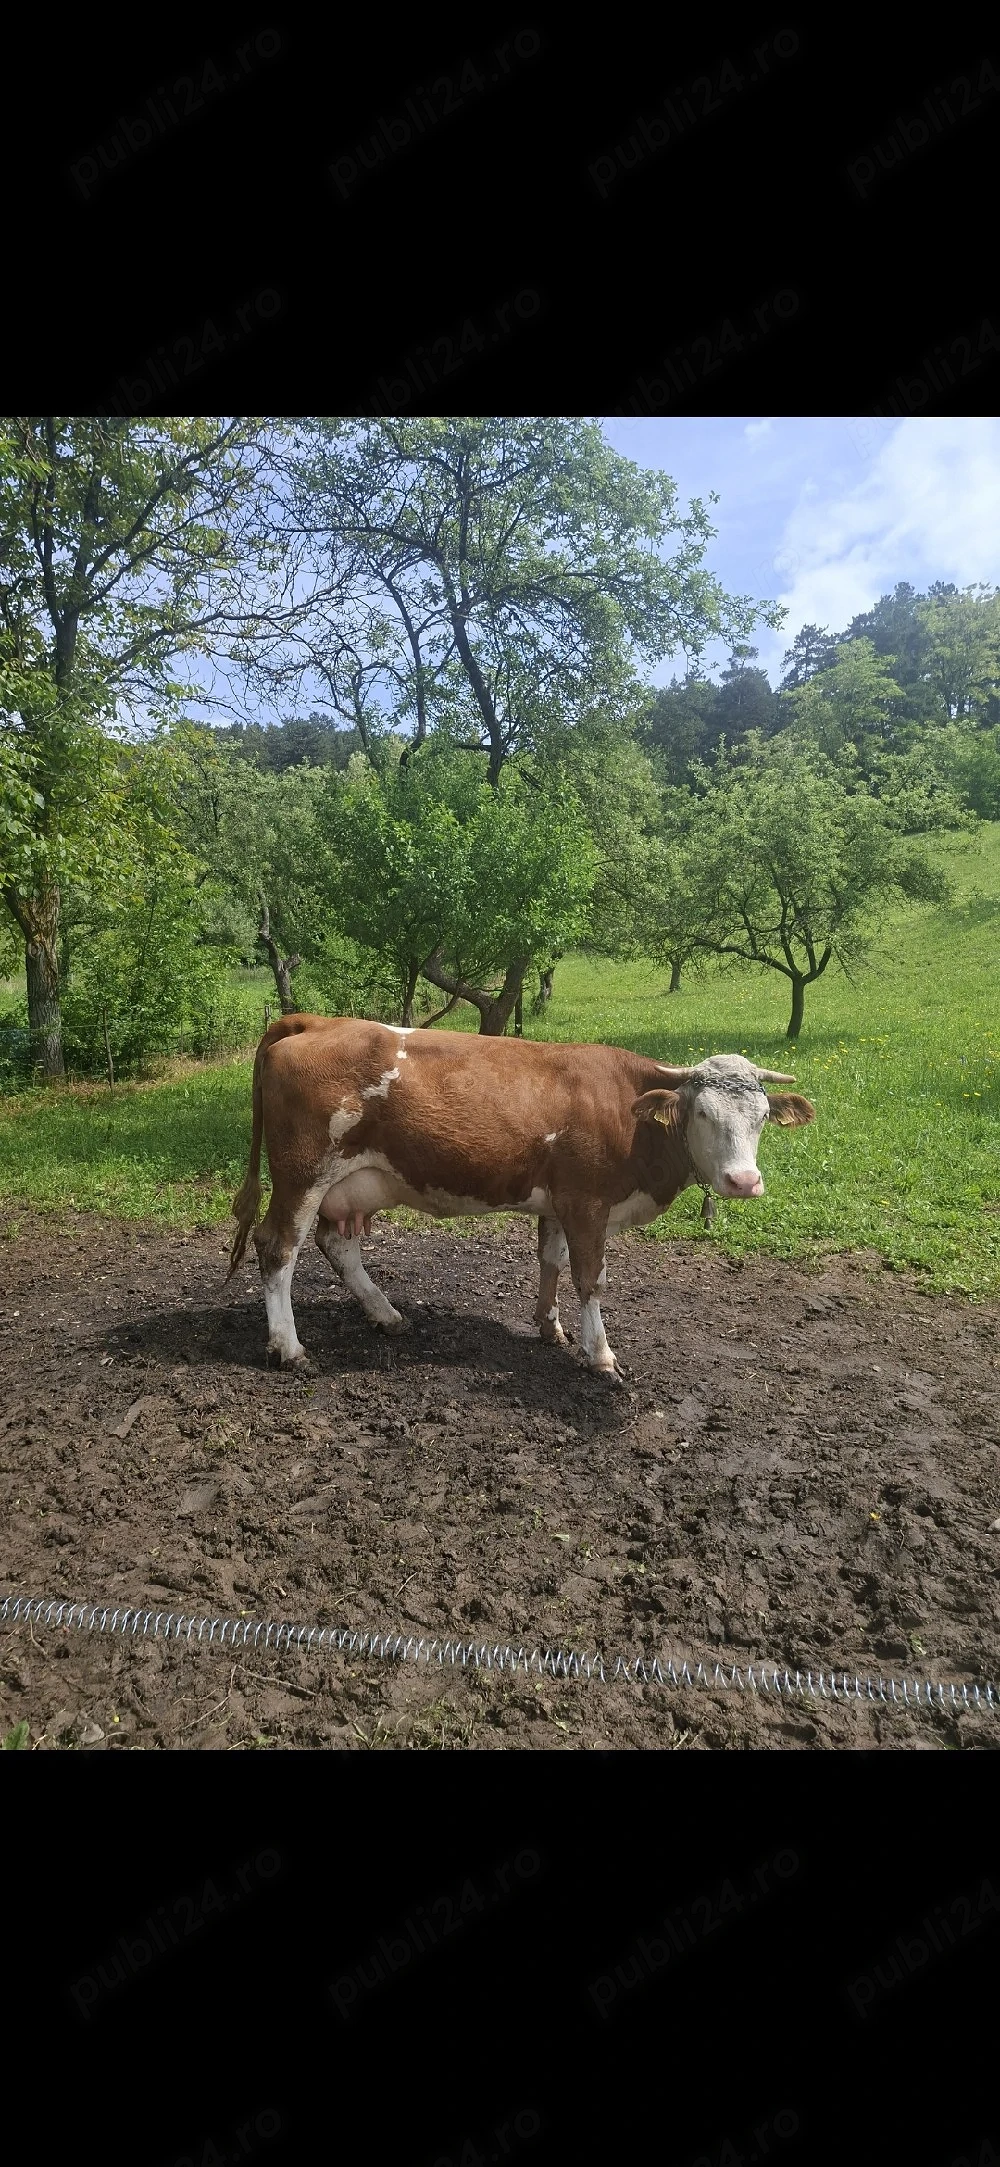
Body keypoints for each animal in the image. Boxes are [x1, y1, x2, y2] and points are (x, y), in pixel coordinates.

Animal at [227, 1015, 815, 1380]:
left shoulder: (558, 1203)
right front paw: (600, 1355)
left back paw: (386, 1314)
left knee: (336, 1246)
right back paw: (289, 1348)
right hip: (303, 1175)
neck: (630, 1116)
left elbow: (550, 1261)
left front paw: (549, 1326)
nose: (744, 1181)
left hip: (346, 1185)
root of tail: (315, 1020)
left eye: (763, 1116)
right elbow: (590, 1279)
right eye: (703, 1113)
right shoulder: (587, 1202)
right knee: (278, 1249)